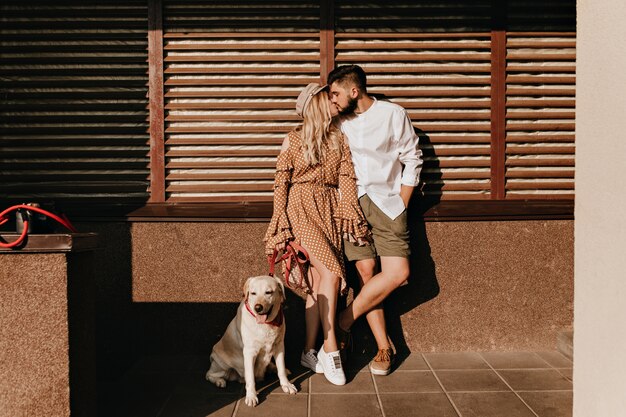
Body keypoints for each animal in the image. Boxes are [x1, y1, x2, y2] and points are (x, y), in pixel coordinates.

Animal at [202, 274, 294, 404]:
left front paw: (286, 385)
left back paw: (274, 368)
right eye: (253, 293)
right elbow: (250, 378)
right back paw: (219, 381)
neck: (266, 324)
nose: (258, 308)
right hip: (222, 364)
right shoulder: (250, 352)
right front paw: (251, 396)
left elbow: (281, 369)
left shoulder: (279, 346)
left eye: (268, 292)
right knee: (209, 374)